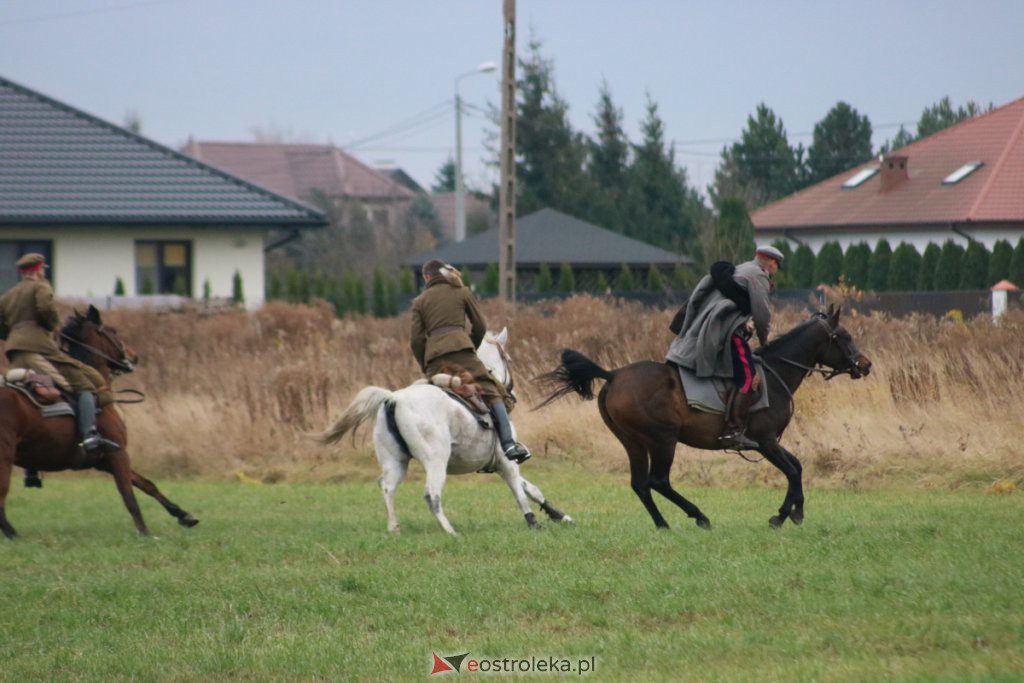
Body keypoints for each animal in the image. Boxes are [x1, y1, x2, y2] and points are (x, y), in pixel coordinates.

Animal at [0, 305, 198, 540]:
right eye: (112, 331)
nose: (133, 356)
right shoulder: (118, 455)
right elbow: (129, 496)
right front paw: (144, 532)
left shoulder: (105, 460)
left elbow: (146, 484)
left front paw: (183, 515)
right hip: (5, 456)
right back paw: (14, 535)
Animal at [307, 329, 573, 532]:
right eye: (508, 358)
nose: (513, 395)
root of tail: (394, 399)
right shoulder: (507, 462)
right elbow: (520, 492)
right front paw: (533, 523)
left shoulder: (499, 463)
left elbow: (532, 489)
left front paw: (560, 516)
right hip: (436, 460)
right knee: (431, 495)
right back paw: (450, 531)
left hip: (395, 462)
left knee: (387, 488)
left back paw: (394, 528)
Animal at [536, 307, 872, 532]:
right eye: (844, 336)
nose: (865, 365)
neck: (776, 373)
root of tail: (614, 375)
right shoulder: (764, 442)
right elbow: (791, 470)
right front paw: (783, 515)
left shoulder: (768, 443)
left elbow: (798, 466)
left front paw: (793, 511)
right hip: (663, 439)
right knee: (658, 481)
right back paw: (699, 516)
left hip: (633, 442)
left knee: (640, 484)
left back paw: (663, 524)